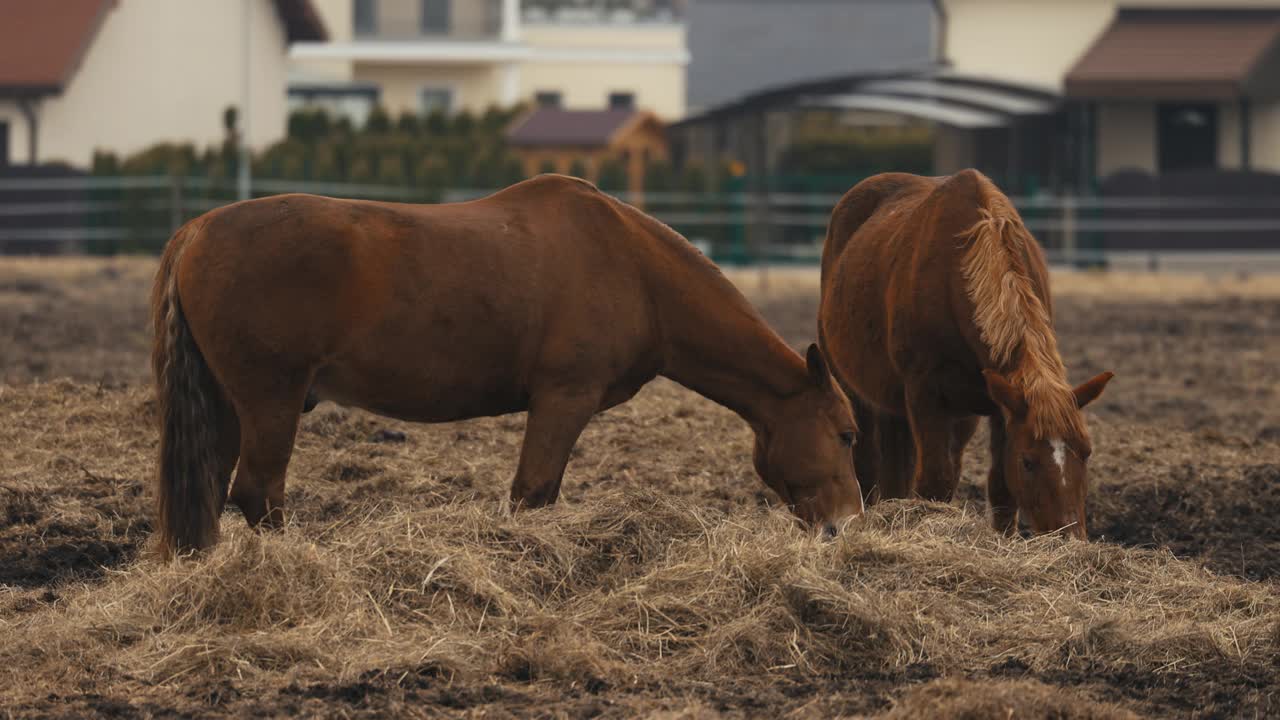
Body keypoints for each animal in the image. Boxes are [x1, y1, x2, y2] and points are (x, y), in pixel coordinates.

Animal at [154, 174, 865, 556]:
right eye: (848, 434)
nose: (847, 526)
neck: (635, 269)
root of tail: (195, 231)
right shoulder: (562, 401)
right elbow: (533, 493)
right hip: (270, 402)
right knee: (257, 493)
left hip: (229, 408)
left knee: (214, 491)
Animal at [819, 169, 1111, 538]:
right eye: (1028, 462)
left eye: (1086, 452)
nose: (1069, 536)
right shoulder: (924, 395)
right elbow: (934, 481)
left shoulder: (1002, 403)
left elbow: (1000, 485)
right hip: (848, 380)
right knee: (868, 462)